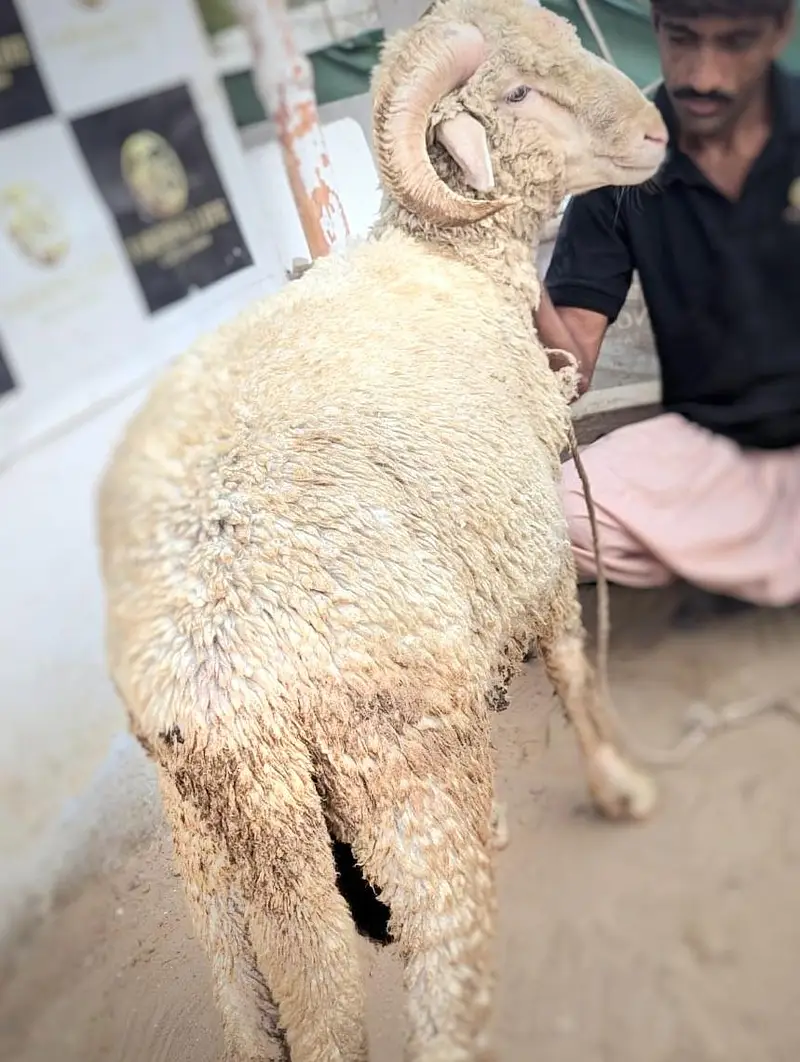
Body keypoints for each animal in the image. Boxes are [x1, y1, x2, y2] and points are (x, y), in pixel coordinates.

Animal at [96, 1, 668, 1059]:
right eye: (517, 90)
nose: (657, 135)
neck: (452, 258)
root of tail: (222, 689)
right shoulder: (532, 545)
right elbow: (572, 671)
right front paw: (618, 786)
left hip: (212, 853)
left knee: (255, 1016)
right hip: (400, 765)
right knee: (438, 990)